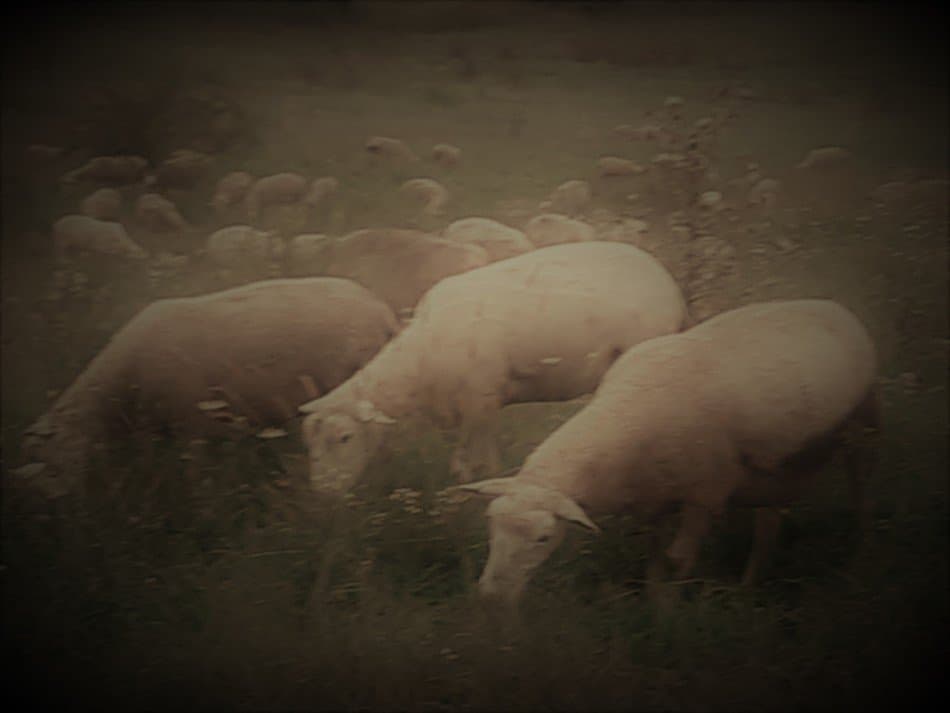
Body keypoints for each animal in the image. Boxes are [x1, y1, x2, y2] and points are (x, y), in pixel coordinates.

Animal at [298, 241, 688, 494]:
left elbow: (478, 462)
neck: (419, 361)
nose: (323, 494)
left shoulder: (480, 400)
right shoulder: (471, 405)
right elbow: (470, 457)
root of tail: (668, 283)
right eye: (309, 442)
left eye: (345, 438)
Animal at [457, 299, 880, 606]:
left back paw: (860, 564)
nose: (491, 596)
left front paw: (671, 618)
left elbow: (678, 559)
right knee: (768, 525)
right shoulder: (653, 497)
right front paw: (658, 603)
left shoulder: (705, 495)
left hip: (863, 426)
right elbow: (655, 560)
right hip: (776, 467)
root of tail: (833, 306)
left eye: (544, 538)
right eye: (491, 525)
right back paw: (748, 588)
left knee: (862, 496)